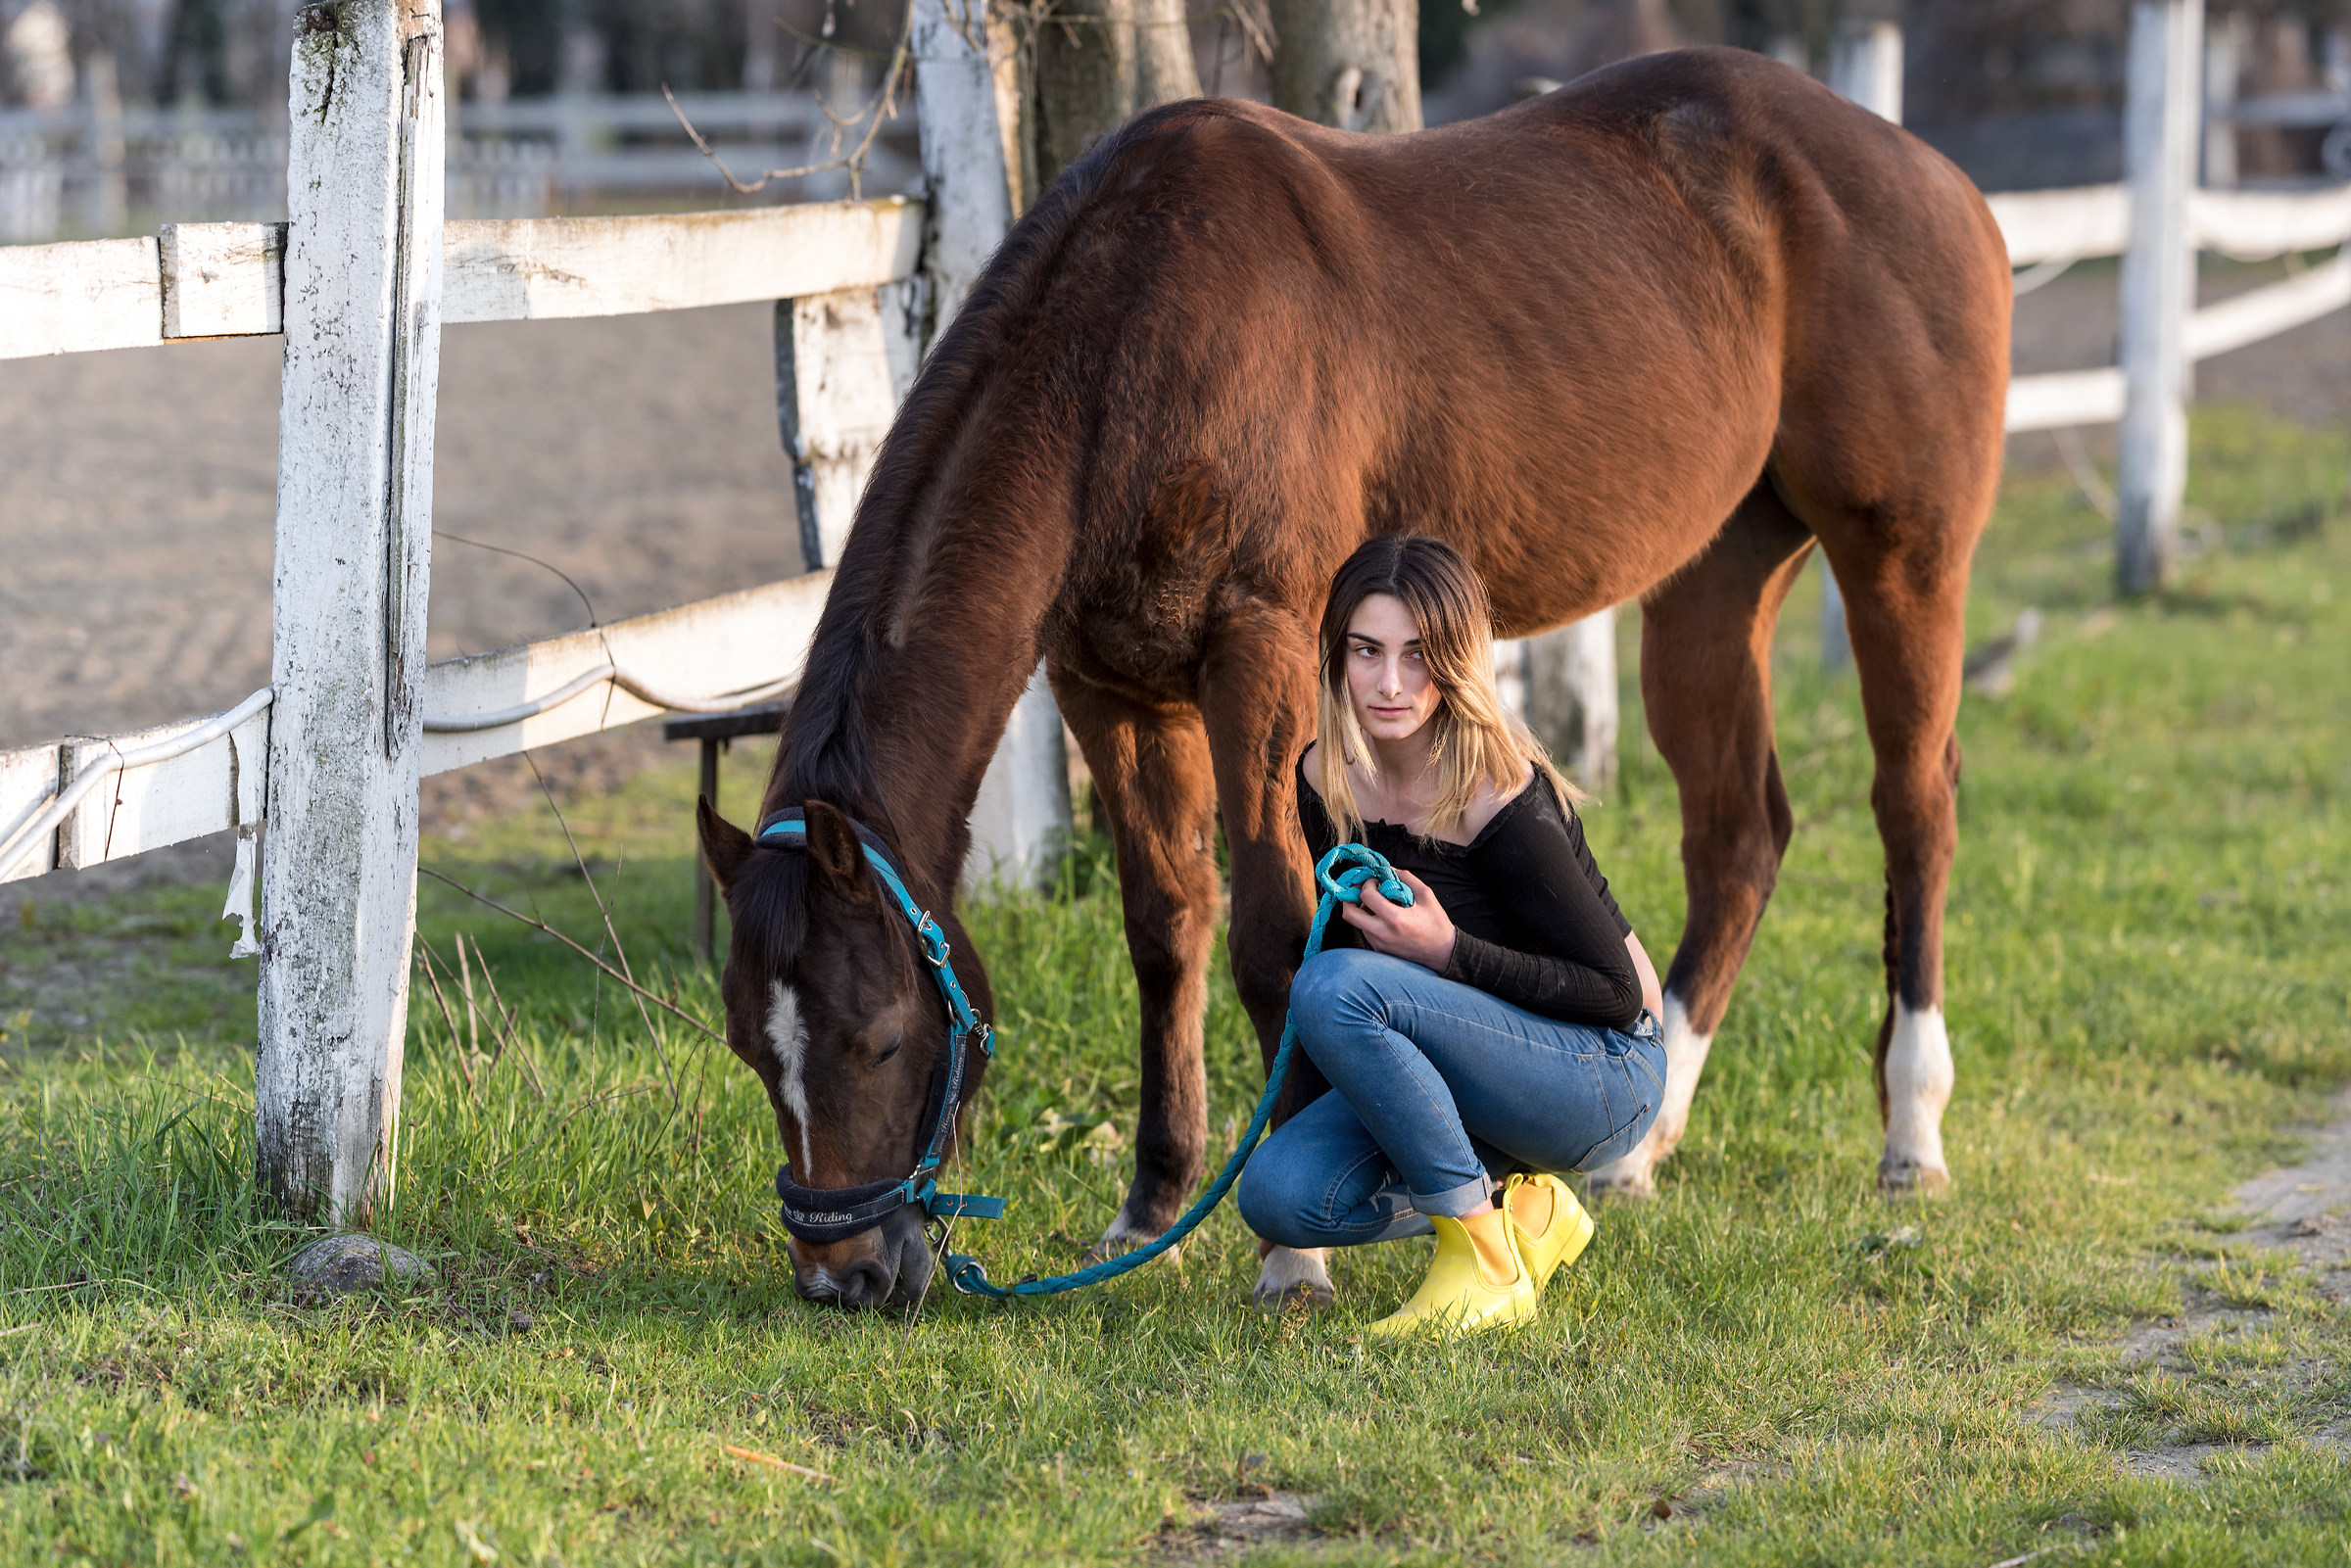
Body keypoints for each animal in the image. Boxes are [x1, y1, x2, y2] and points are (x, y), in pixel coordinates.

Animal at [695, 46, 2011, 1309]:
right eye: (753, 1047)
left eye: (877, 1037)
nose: (844, 1276)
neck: (1133, 343)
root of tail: (1939, 180)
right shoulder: (1108, 685)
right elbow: (1165, 925)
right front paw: (1151, 1208)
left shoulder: (1265, 658)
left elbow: (1274, 939)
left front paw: (1290, 1258)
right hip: (1712, 576)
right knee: (1736, 834)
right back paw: (1635, 1151)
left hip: (1903, 555)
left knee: (1917, 807)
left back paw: (1910, 1133)